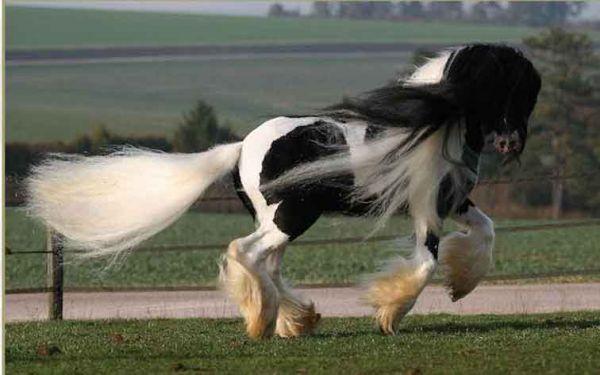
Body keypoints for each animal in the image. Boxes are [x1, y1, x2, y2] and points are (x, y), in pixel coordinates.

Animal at [25, 44, 540, 340]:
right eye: (511, 85)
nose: (511, 142)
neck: (434, 125)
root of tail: (241, 148)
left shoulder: (452, 202)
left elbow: (487, 230)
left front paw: (462, 284)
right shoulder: (425, 209)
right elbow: (427, 262)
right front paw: (390, 314)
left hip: (279, 219)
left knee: (265, 263)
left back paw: (296, 320)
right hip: (292, 217)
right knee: (246, 253)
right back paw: (266, 321)